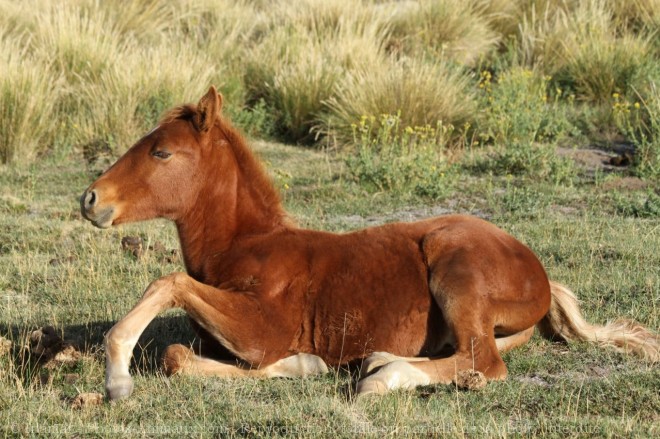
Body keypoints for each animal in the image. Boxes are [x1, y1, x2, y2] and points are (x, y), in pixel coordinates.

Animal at [82, 86, 660, 402]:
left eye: (161, 153)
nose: (90, 199)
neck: (247, 246)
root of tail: (540, 274)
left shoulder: (264, 328)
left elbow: (169, 287)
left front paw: (117, 377)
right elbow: (179, 354)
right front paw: (308, 365)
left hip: (457, 271)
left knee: (483, 364)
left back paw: (381, 376)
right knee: (470, 353)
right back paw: (377, 360)